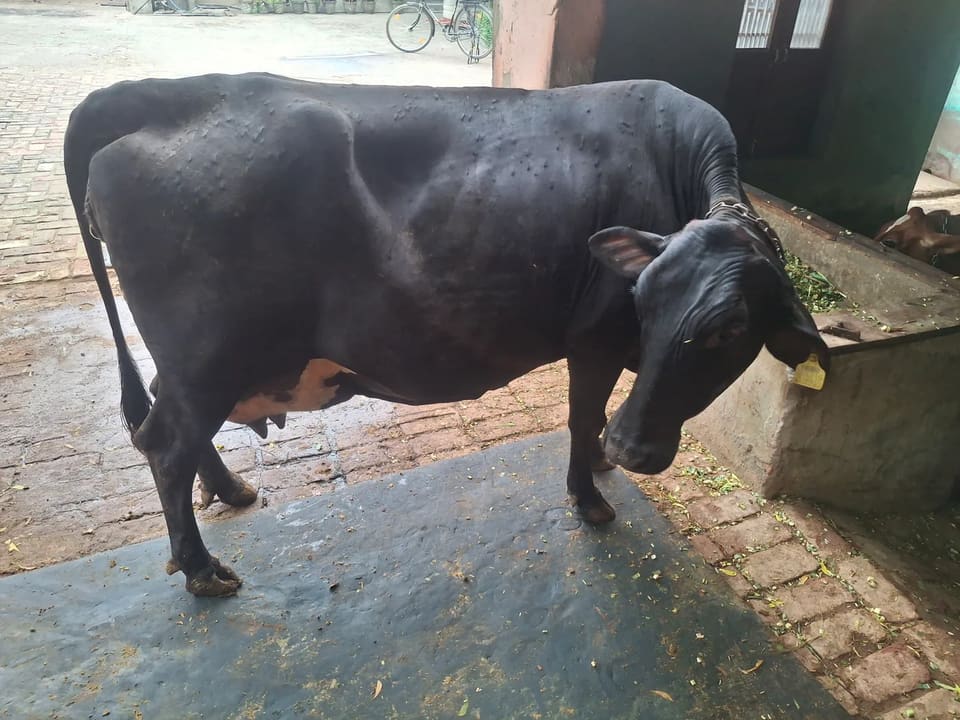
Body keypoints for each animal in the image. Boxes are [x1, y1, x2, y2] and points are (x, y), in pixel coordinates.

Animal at [63, 74, 829, 597]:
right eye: (640, 298)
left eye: (730, 328)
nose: (634, 450)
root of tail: (168, 94)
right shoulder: (596, 338)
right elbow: (582, 417)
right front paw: (590, 495)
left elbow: (591, 418)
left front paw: (602, 464)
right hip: (208, 356)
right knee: (165, 445)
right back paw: (203, 571)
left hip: (202, 364)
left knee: (173, 426)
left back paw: (231, 491)